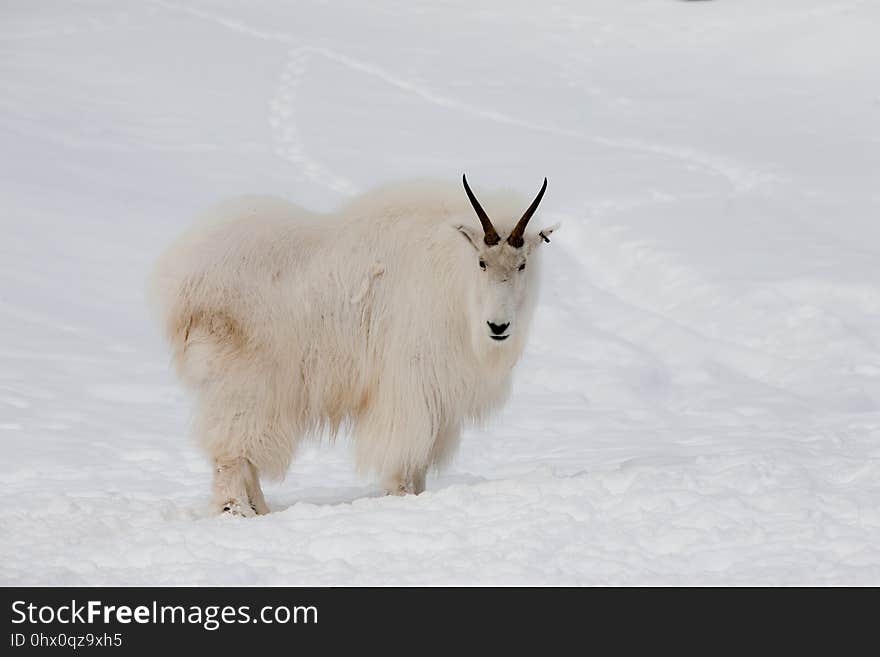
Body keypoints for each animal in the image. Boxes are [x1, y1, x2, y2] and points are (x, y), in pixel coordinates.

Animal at [146, 177, 556, 516]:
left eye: (522, 265)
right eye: (482, 262)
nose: (498, 327)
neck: (457, 280)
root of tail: (179, 279)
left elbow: (421, 463)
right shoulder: (408, 383)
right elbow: (402, 452)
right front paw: (399, 496)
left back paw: (261, 509)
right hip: (243, 380)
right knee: (231, 450)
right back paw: (237, 510)